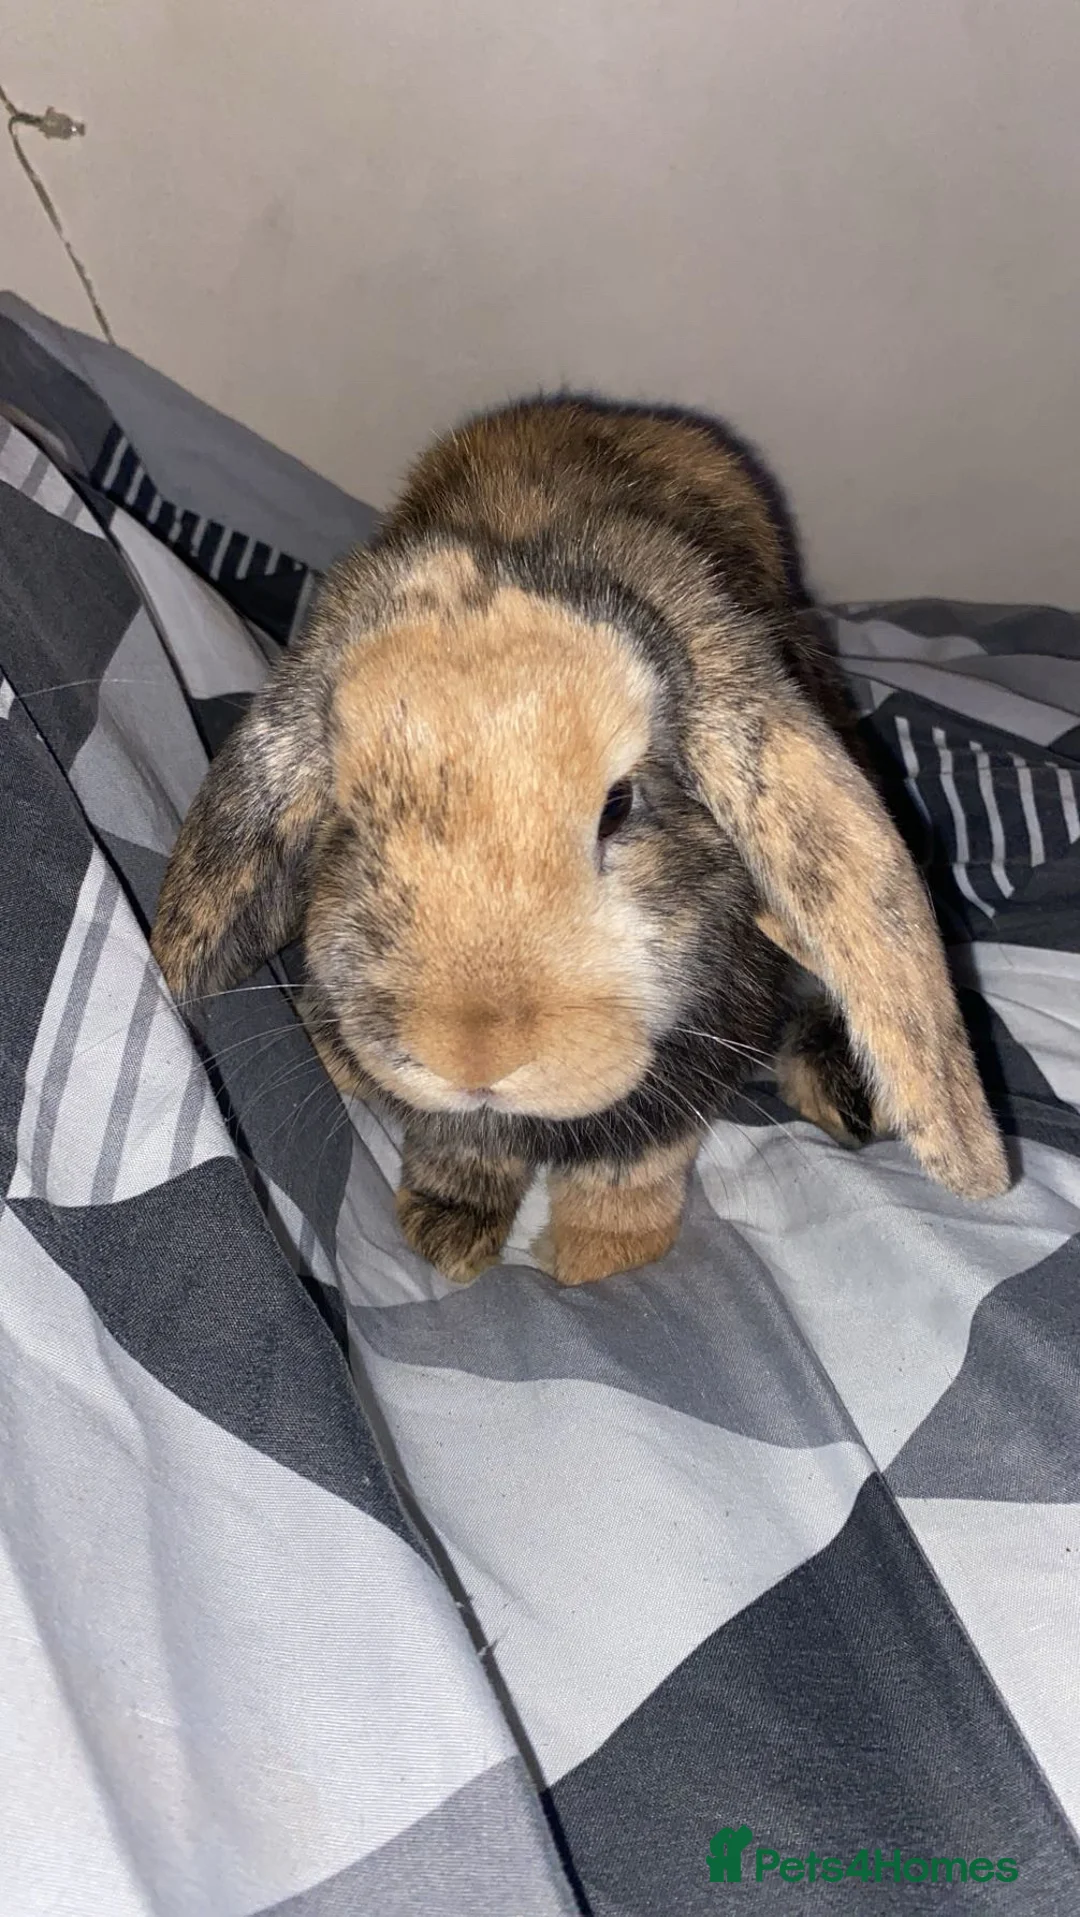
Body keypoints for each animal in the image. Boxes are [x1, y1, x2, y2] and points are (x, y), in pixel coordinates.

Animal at [151, 395, 1009, 1286]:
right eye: (349, 816)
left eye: (619, 806)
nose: (473, 1057)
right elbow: (462, 1146)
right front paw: (447, 1234)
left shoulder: (686, 1070)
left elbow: (632, 1164)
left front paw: (601, 1259)